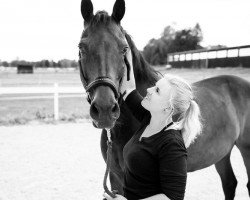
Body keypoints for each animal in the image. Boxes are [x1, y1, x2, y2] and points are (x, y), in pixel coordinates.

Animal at [79, 0, 250, 199]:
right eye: (81, 47)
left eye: (124, 48)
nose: (105, 109)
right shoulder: (115, 177)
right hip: (222, 153)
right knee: (229, 183)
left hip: (246, 150)